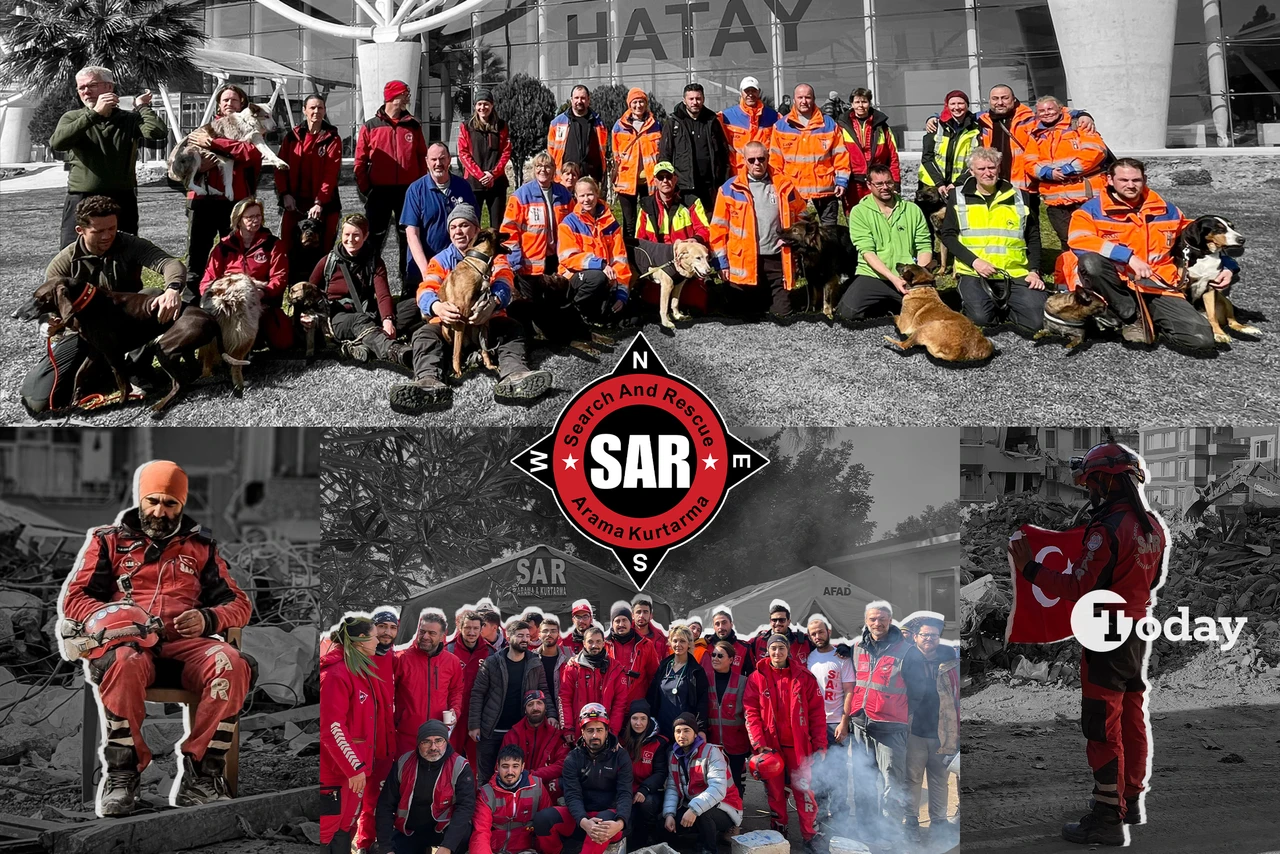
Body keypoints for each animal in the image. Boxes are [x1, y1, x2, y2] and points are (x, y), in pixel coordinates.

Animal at [435, 229, 504, 376]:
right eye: (497, 231)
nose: (508, 233)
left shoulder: (482, 319)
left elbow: (484, 348)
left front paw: (490, 365)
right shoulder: (459, 320)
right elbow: (456, 351)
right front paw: (458, 372)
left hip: (481, 329)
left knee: (480, 348)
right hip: (447, 329)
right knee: (456, 349)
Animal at [1172, 213, 1254, 343]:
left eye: (1232, 226)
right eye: (1219, 229)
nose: (1242, 239)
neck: (1205, 254)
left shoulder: (1210, 288)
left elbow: (1212, 315)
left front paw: (1219, 333)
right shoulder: (1183, 286)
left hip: (1223, 299)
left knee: (1232, 321)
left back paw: (1246, 328)